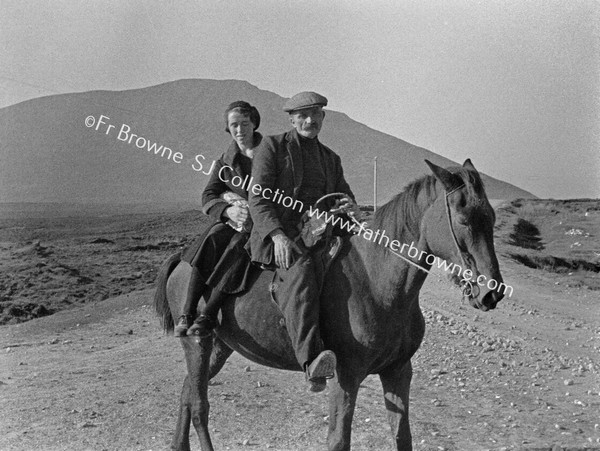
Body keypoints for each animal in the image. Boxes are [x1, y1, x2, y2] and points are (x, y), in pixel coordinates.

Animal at [152, 160, 504, 451]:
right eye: (464, 220)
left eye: (491, 217)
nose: (492, 292)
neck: (378, 278)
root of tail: (182, 259)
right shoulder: (346, 376)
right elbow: (338, 441)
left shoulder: (398, 371)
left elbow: (402, 437)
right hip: (198, 345)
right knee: (199, 405)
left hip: (220, 347)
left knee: (187, 393)